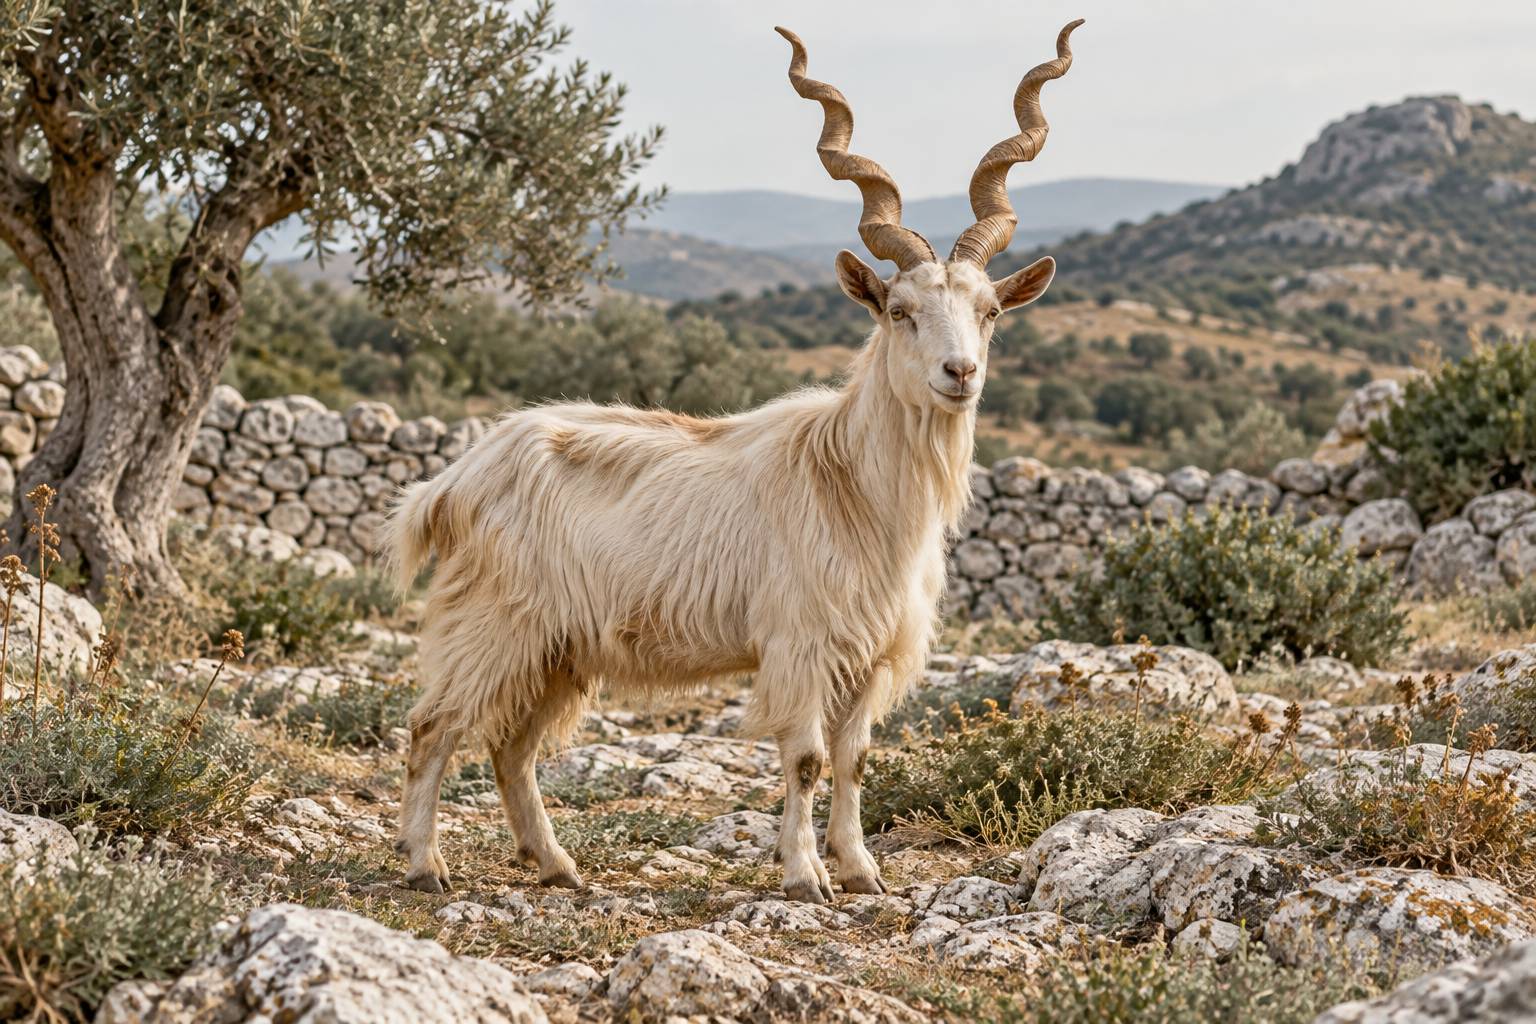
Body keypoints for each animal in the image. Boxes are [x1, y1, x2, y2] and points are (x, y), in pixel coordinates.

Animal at [384, 19, 1082, 903]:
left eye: (989, 312)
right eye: (898, 310)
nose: (960, 374)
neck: (854, 487)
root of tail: (455, 480)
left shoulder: (870, 655)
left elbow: (855, 758)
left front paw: (862, 871)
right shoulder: (800, 645)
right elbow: (808, 758)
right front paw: (805, 877)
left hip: (560, 646)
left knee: (512, 746)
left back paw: (558, 865)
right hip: (495, 622)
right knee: (433, 724)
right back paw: (425, 864)